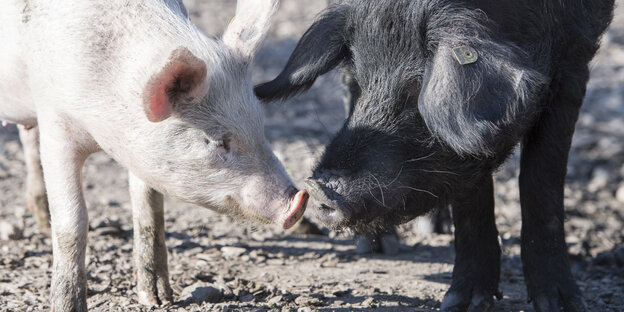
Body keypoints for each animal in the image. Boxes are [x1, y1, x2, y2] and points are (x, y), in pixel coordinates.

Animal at [0, 1, 306, 310]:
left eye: (260, 124)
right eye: (218, 141)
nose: (299, 201)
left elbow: (150, 210)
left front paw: (158, 299)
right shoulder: (56, 124)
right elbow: (72, 222)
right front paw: (68, 306)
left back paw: (41, 223)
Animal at [258, 0, 616, 312]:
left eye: (418, 90)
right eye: (358, 85)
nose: (317, 187)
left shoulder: (576, 53)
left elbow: (542, 182)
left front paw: (562, 305)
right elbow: (472, 196)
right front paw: (461, 305)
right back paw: (381, 246)